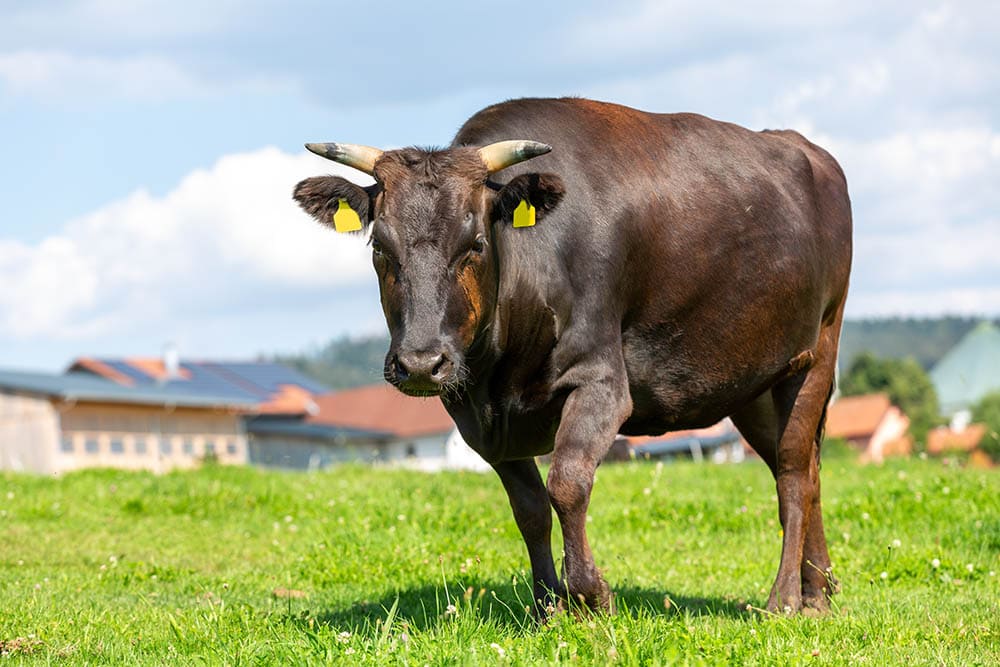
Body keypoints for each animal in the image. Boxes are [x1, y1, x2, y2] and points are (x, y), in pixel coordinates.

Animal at [294, 98, 852, 616]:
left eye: (475, 244)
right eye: (380, 248)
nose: (419, 364)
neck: (502, 376)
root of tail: (808, 150)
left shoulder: (600, 382)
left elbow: (566, 484)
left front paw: (590, 595)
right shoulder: (479, 416)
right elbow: (530, 509)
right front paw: (548, 605)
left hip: (816, 353)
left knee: (793, 473)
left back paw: (785, 598)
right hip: (752, 383)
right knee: (808, 471)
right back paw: (819, 590)